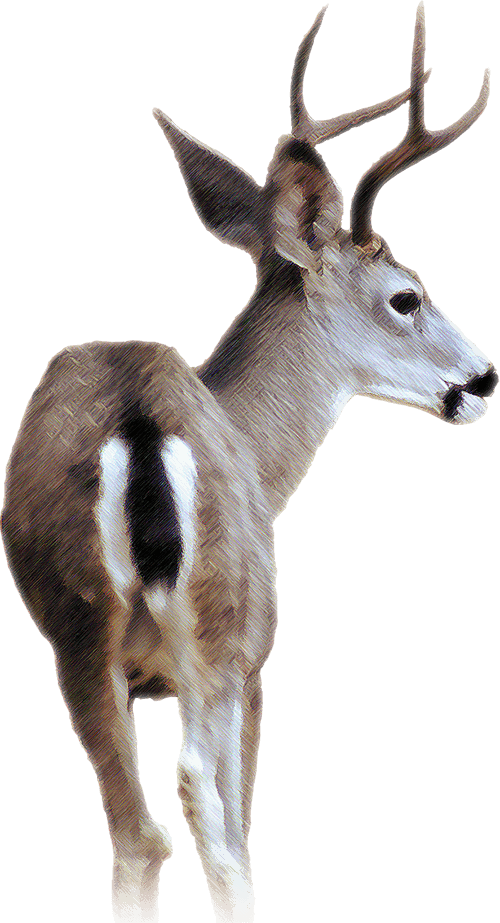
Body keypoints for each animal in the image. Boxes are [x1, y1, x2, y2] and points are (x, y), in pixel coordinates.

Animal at [1, 3, 497, 921]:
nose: (483, 378)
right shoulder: (258, 665)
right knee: (209, 821)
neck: (256, 448)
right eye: (406, 296)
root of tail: (142, 415)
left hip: (75, 636)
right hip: (223, 634)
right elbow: (236, 831)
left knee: (137, 835)